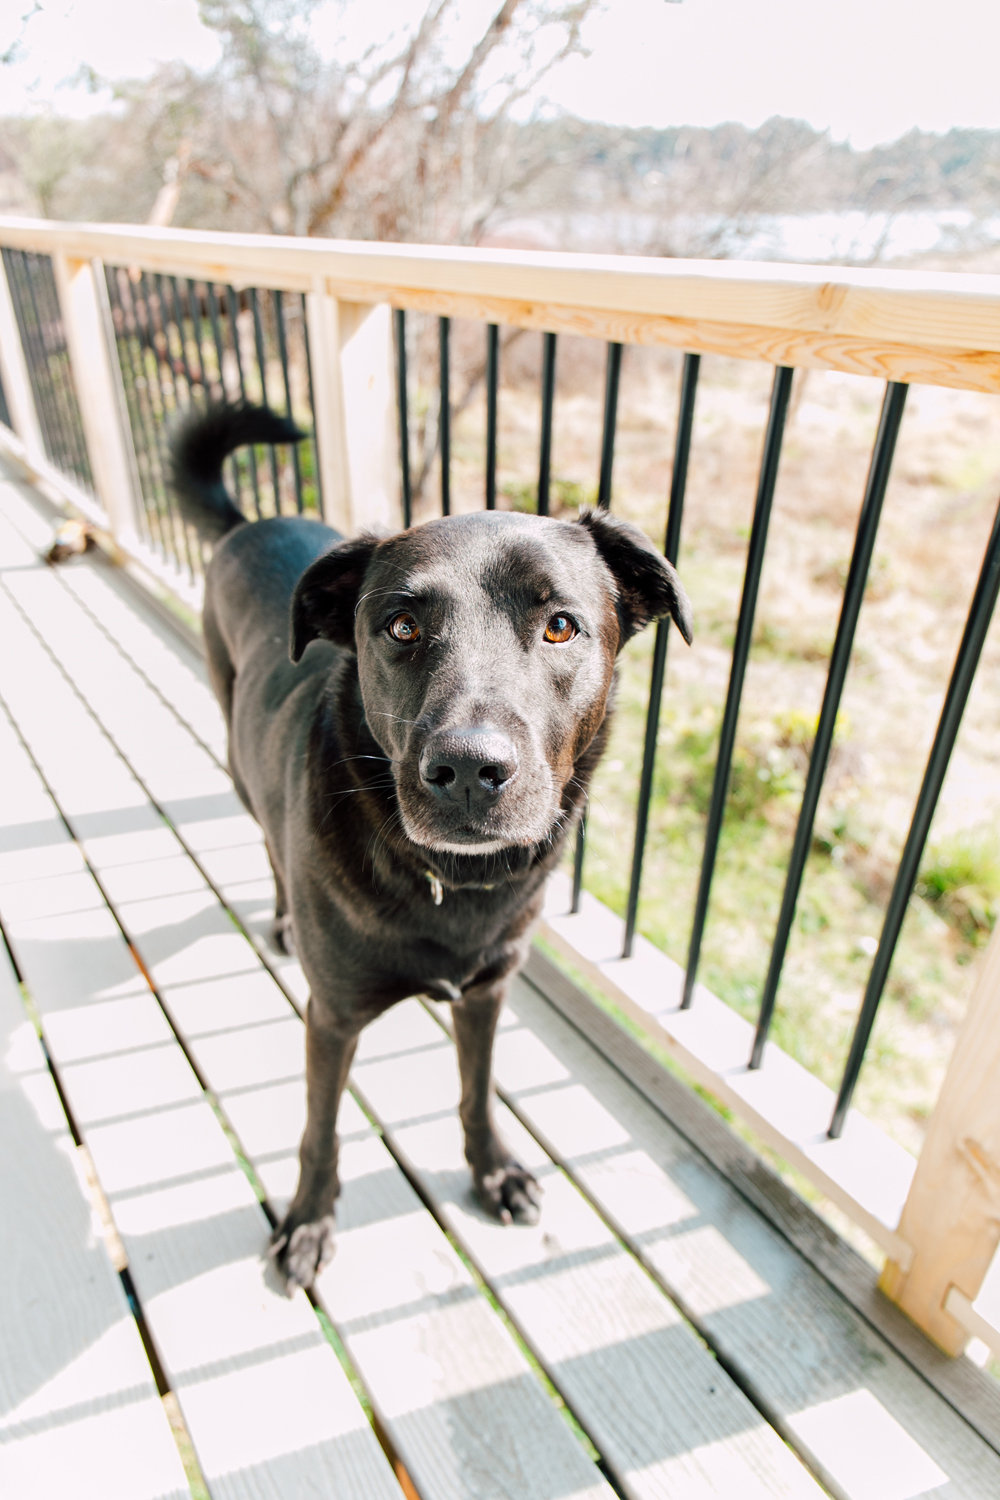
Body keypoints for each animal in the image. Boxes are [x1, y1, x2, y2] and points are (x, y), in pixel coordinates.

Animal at [172, 402, 692, 1290]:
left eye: (560, 626)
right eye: (402, 626)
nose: (469, 770)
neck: (448, 881)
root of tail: (251, 523)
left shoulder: (487, 992)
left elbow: (477, 1091)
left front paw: (493, 1170)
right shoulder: (332, 1017)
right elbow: (320, 1129)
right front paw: (308, 1220)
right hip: (238, 759)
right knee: (267, 837)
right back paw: (281, 918)